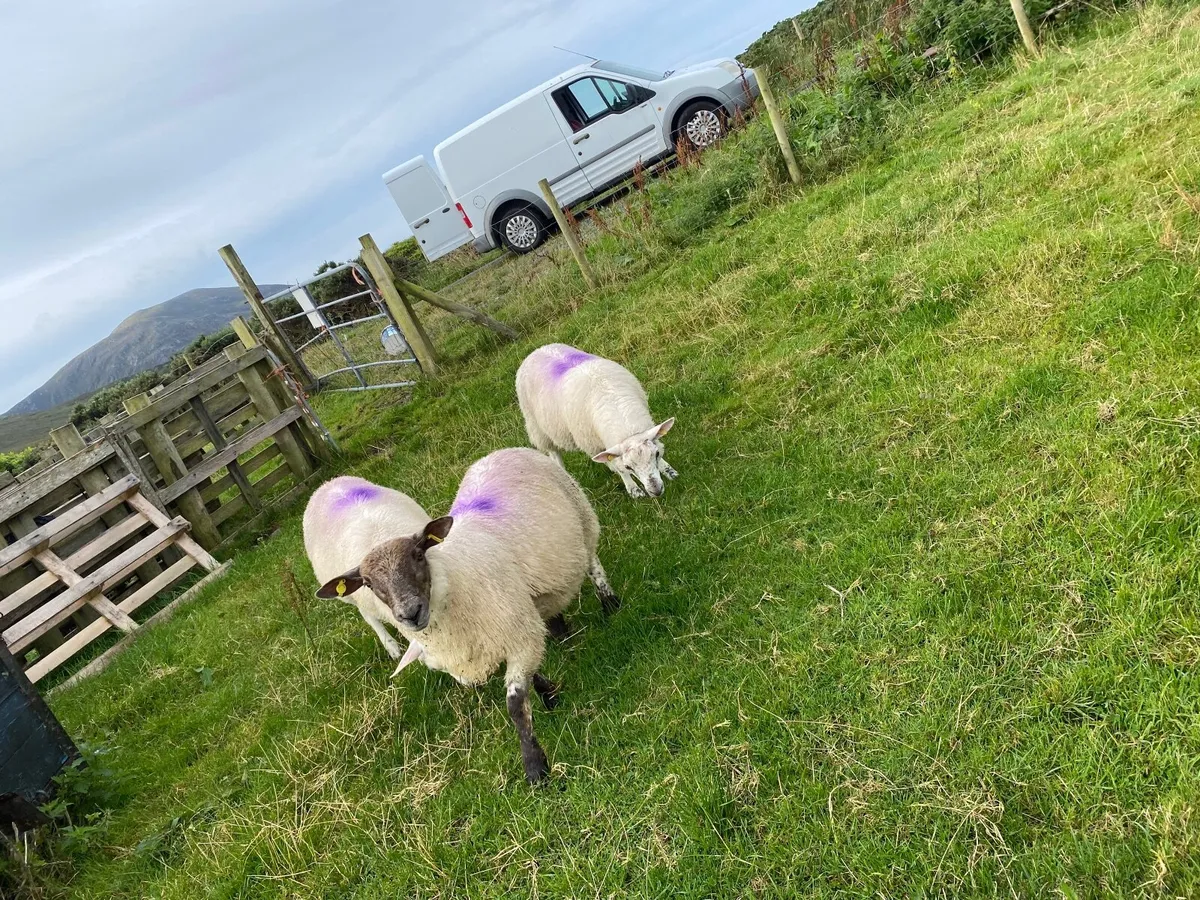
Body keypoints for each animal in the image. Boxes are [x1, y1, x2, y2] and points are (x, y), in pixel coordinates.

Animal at [303, 476, 429, 665]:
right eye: (368, 584)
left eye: (419, 556)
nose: (412, 613)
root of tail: (325, 484)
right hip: (351, 596)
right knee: (366, 614)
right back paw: (391, 646)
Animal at [515, 343, 677, 498]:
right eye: (628, 467)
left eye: (656, 454)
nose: (656, 491)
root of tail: (536, 351)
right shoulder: (596, 446)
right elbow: (616, 465)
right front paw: (633, 489)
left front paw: (667, 470)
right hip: (537, 427)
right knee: (554, 453)